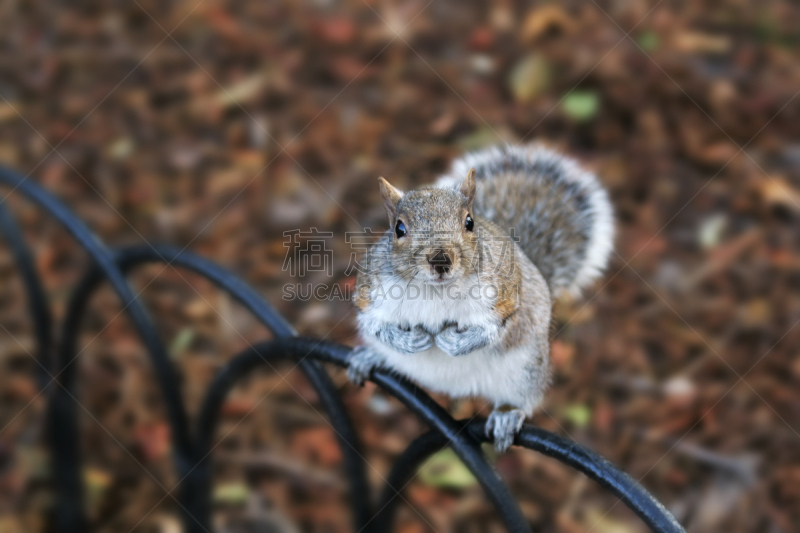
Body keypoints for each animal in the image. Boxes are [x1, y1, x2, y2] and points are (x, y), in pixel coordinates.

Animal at [346, 143, 616, 450]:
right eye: (399, 228)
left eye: (469, 222)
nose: (441, 260)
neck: (436, 290)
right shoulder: (371, 294)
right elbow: (374, 324)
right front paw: (410, 341)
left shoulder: (503, 297)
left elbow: (492, 329)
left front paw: (454, 343)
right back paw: (368, 357)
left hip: (525, 371)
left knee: (521, 397)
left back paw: (507, 415)